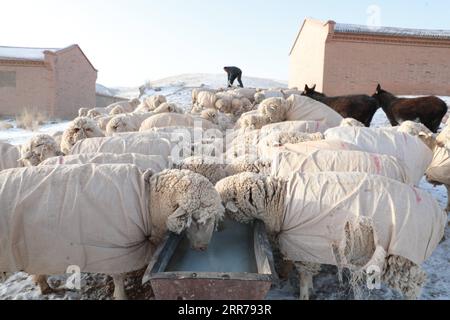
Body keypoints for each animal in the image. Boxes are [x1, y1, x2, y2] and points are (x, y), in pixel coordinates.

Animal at [0, 165, 225, 300]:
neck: (149, 204)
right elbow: (118, 278)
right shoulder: (116, 251)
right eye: (197, 219)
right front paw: (120, 295)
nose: (204, 248)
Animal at [217, 172, 446, 300]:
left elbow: (304, 277)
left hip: (404, 256)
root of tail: (439, 215)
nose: (218, 230)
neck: (279, 203)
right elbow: (307, 275)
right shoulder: (306, 249)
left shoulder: (305, 246)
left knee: (414, 286)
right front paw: (310, 290)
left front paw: (305, 295)